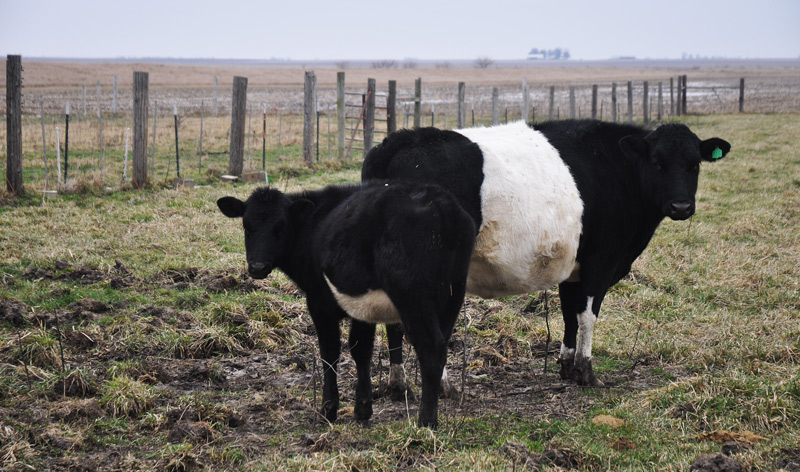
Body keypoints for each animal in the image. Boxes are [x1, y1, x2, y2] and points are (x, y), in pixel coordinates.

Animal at [217, 182, 476, 428]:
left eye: (280, 228)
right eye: (247, 227)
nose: (257, 267)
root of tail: (440, 203)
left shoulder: (319, 302)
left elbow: (330, 352)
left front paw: (329, 409)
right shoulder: (363, 306)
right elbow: (361, 349)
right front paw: (363, 407)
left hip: (412, 294)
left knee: (430, 346)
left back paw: (426, 421)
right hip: (453, 292)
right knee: (442, 345)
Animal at [363, 119, 731, 387]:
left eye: (695, 165)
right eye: (656, 163)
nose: (681, 206)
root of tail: (397, 142)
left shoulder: (573, 267)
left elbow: (569, 314)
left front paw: (566, 367)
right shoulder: (601, 262)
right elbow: (588, 315)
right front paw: (586, 373)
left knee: (394, 322)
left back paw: (398, 384)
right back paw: (441, 385)